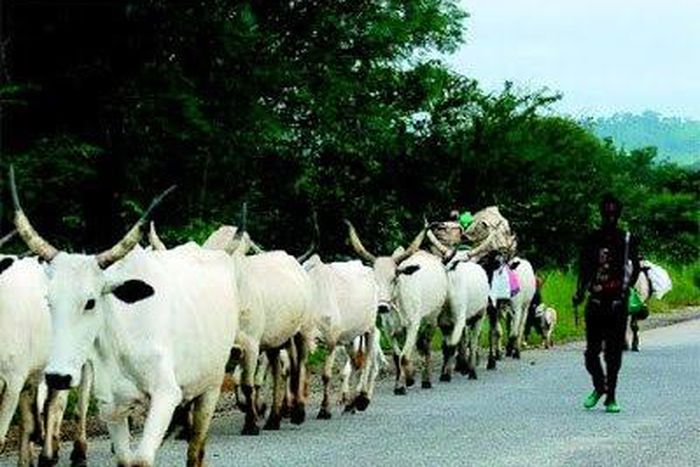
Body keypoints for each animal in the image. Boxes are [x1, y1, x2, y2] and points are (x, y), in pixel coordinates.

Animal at [11, 169, 238, 467]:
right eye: (49, 301)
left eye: (91, 302)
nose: (58, 377)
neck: (123, 339)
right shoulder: (112, 406)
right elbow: (124, 458)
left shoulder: (166, 395)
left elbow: (141, 460)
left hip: (210, 386)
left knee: (196, 449)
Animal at [303, 254, 379, 418]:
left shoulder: (331, 340)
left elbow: (326, 375)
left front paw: (325, 409)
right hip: (350, 338)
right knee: (356, 365)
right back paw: (350, 405)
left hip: (370, 328)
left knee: (367, 362)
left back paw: (362, 400)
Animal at [345, 221, 448, 395]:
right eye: (374, 279)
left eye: (394, 278)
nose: (382, 307)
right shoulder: (389, 330)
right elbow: (396, 356)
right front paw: (400, 384)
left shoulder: (413, 325)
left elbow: (404, 356)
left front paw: (406, 382)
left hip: (431, 320)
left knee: (426, 347)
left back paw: (426, 380)